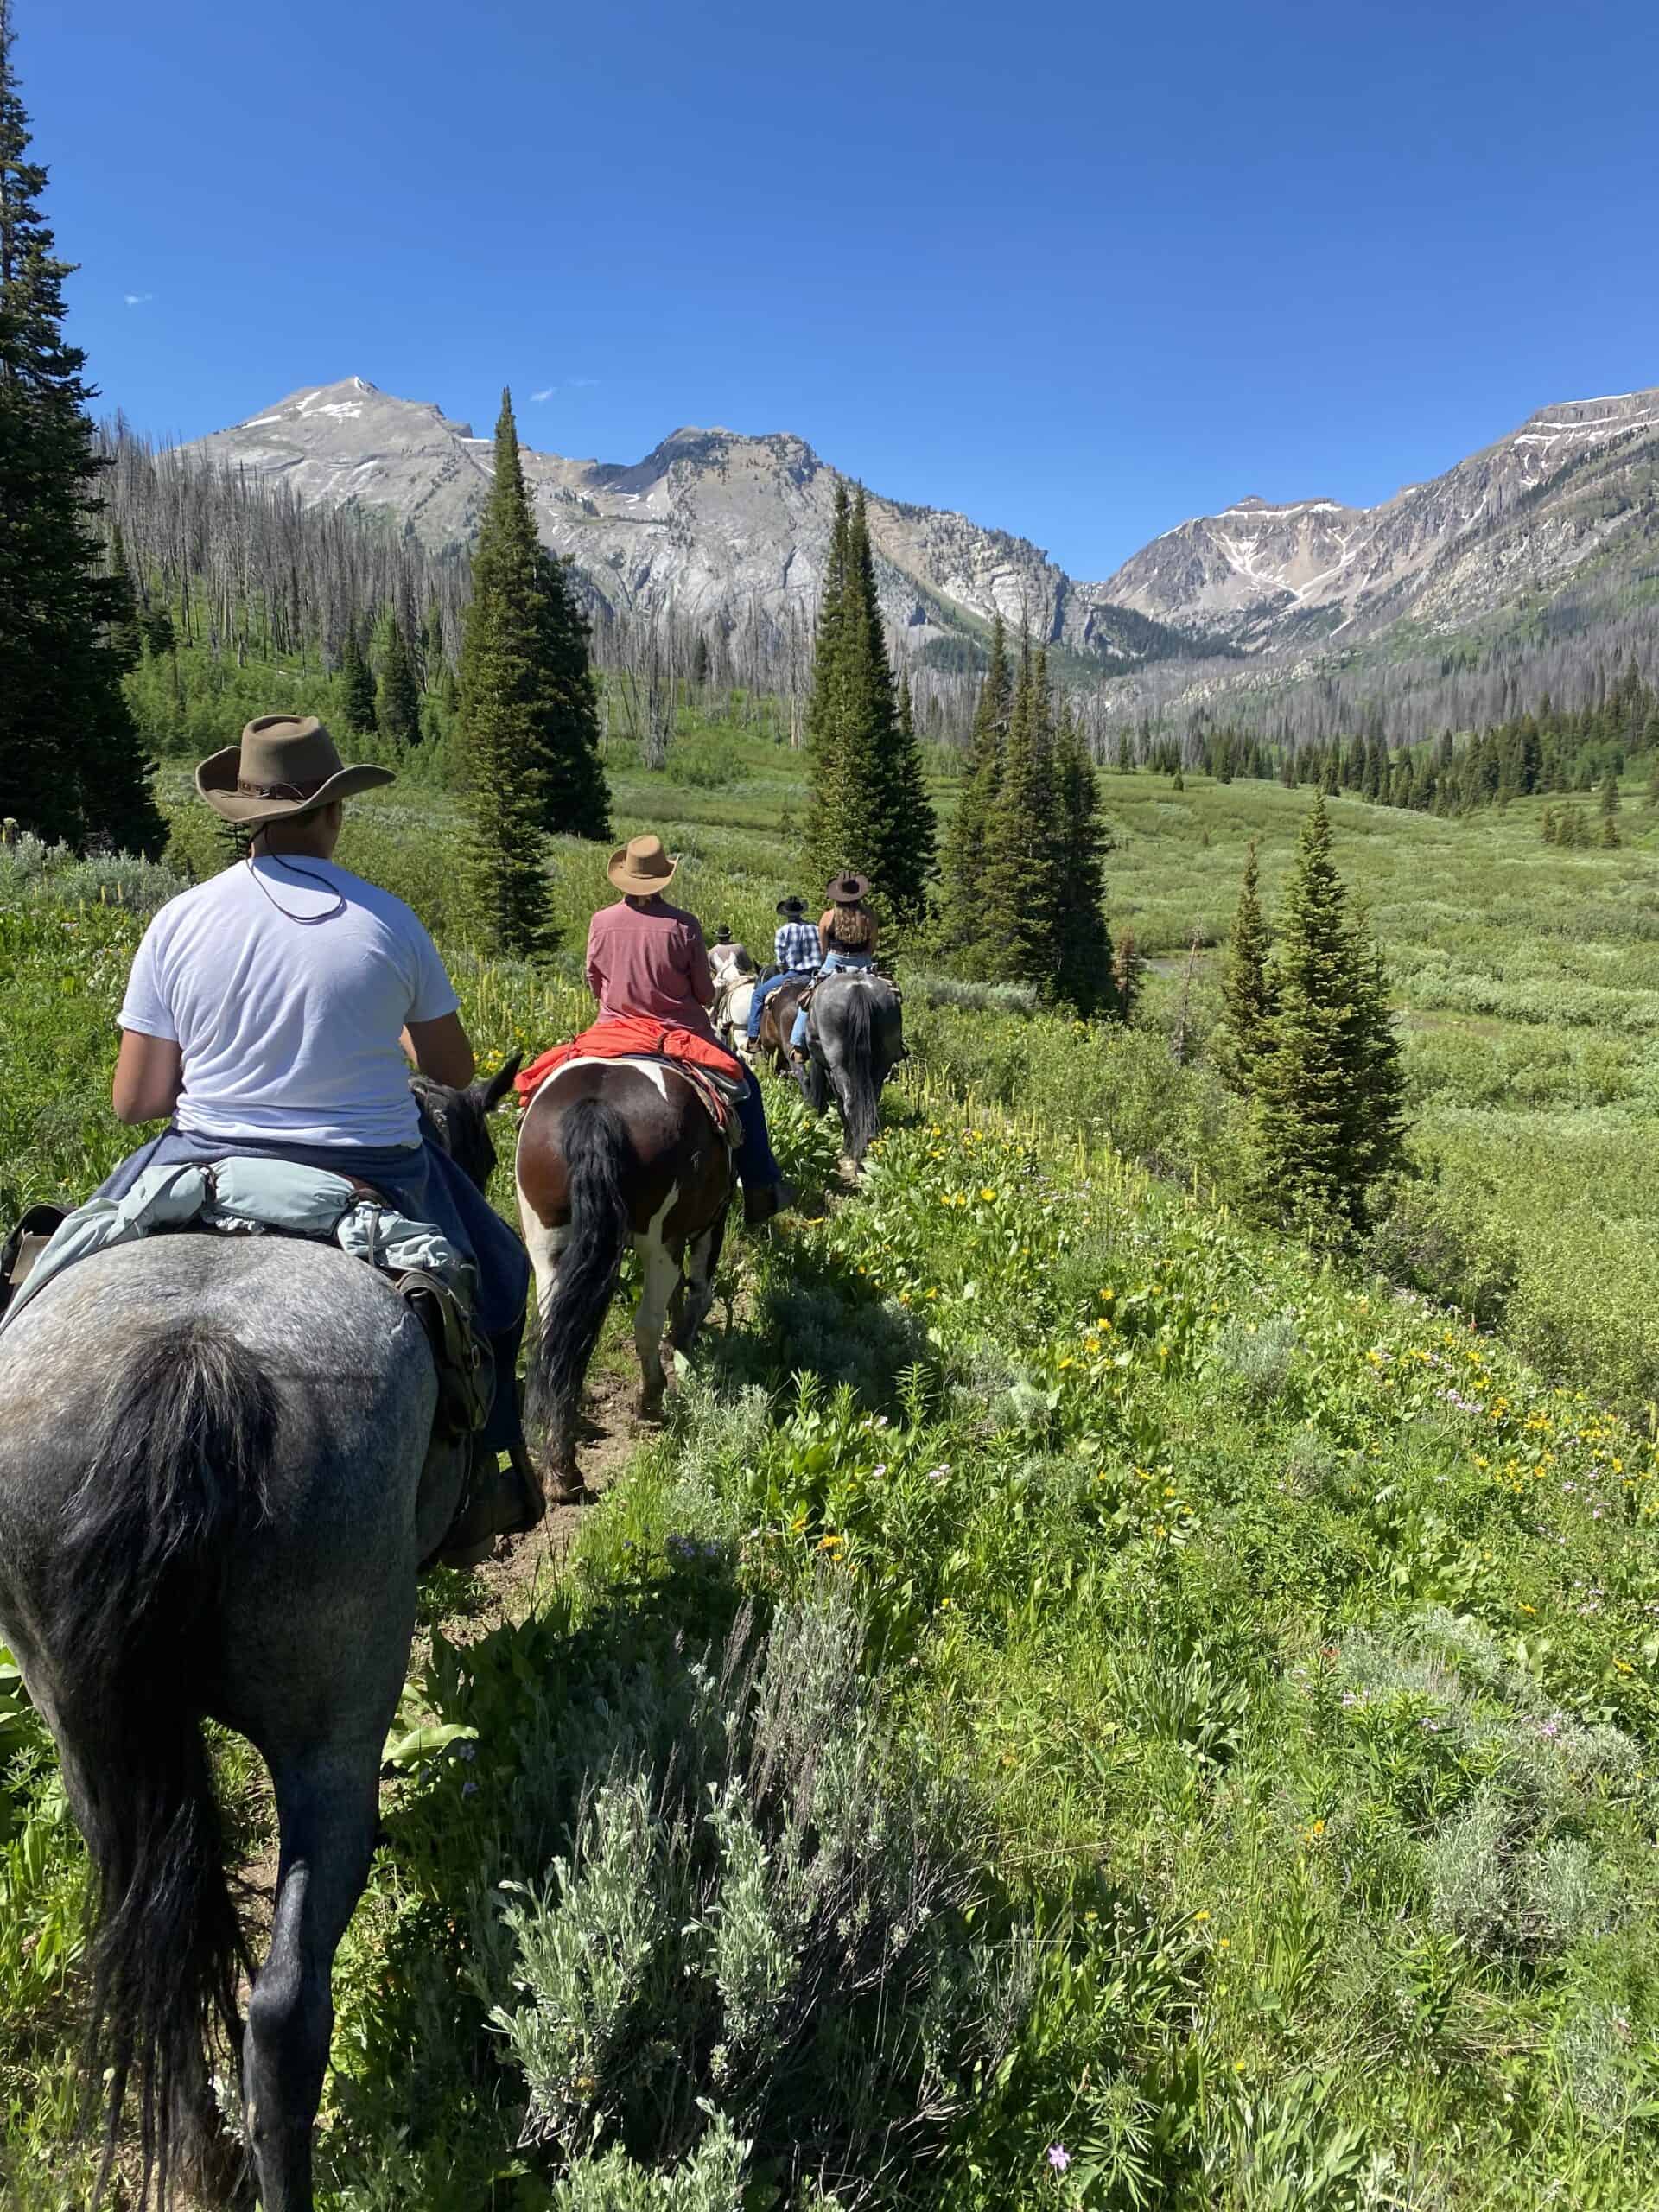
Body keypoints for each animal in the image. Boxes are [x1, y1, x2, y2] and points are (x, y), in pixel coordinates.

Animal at [0, 1061, 519, 2202]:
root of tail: (189, 1366)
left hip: (86, 1734)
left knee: (142, 1946)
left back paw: (203, 2157)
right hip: (330, 1738)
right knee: (284, 2013)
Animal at [518, 1061, 729, 1495]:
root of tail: (595, 1108)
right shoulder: (710, 1223)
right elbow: (698, 1292)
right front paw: (685, 1345)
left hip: (547, 1247)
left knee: (555, 1343)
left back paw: (561, 1471)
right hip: (660, 1241)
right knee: (646, 1324)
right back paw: (650, 1402)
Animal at [800, 973, 911, 1167]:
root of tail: (859, 989)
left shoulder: (829, 1069)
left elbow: (839, 1104)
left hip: (839, 1065)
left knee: (849, 1103)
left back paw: (856, 1154)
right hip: (883, 1063)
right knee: (870, 1102)